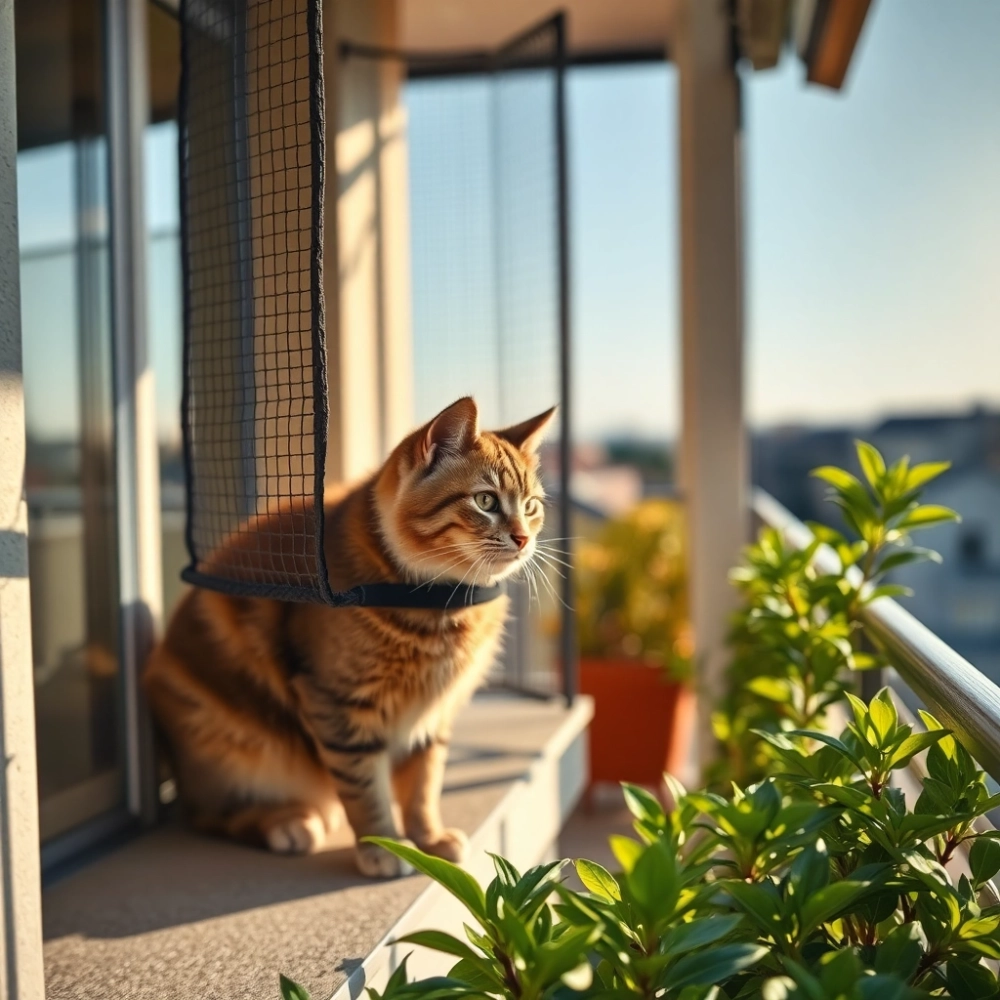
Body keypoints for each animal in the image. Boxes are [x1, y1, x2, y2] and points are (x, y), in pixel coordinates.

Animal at [145, 396, 560, 876]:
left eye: (531, 506)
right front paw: (384, 847)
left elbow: (423, 784)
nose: (523, 538)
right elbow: (365, 788)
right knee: (210, 815)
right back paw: (289, 823)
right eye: (486, 500)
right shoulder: (340, 704)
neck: (440, 603)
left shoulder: (434, 715)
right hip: (228, 744)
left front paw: (427, 839)